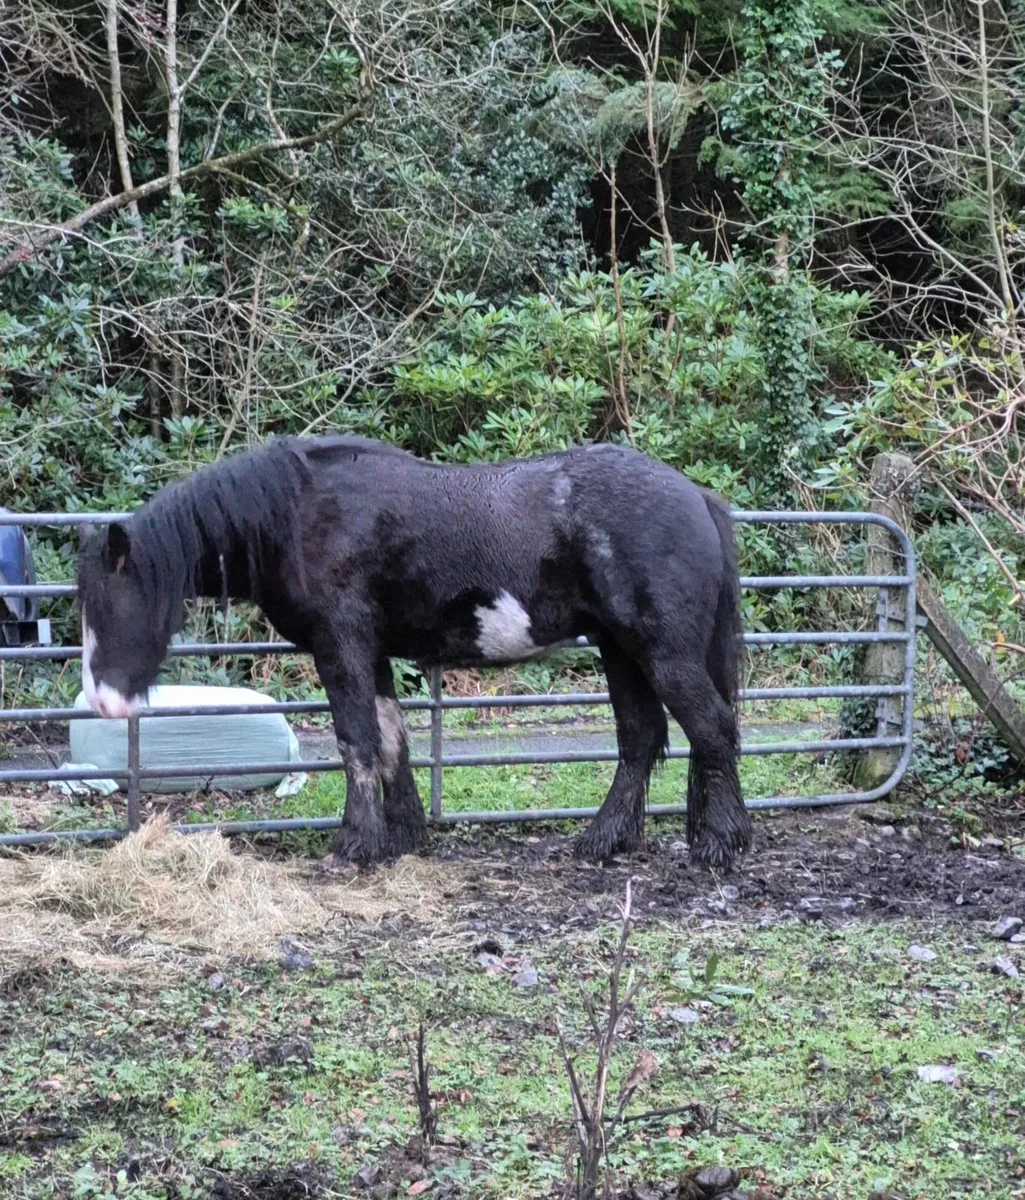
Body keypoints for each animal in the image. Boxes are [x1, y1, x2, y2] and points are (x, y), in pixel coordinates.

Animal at [75, 434, 752, 871]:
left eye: (111, 605)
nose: (102, 702)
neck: (297, 514)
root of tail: (696, 496)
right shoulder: (370, 653)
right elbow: (391, 740)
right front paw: (403, 836)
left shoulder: (341, 646)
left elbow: (356, 741)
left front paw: (355, 845)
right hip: (620, 650)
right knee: (642, 739)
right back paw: (605, 841)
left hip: (661, 651)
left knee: (712, 728)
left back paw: (719, 844)